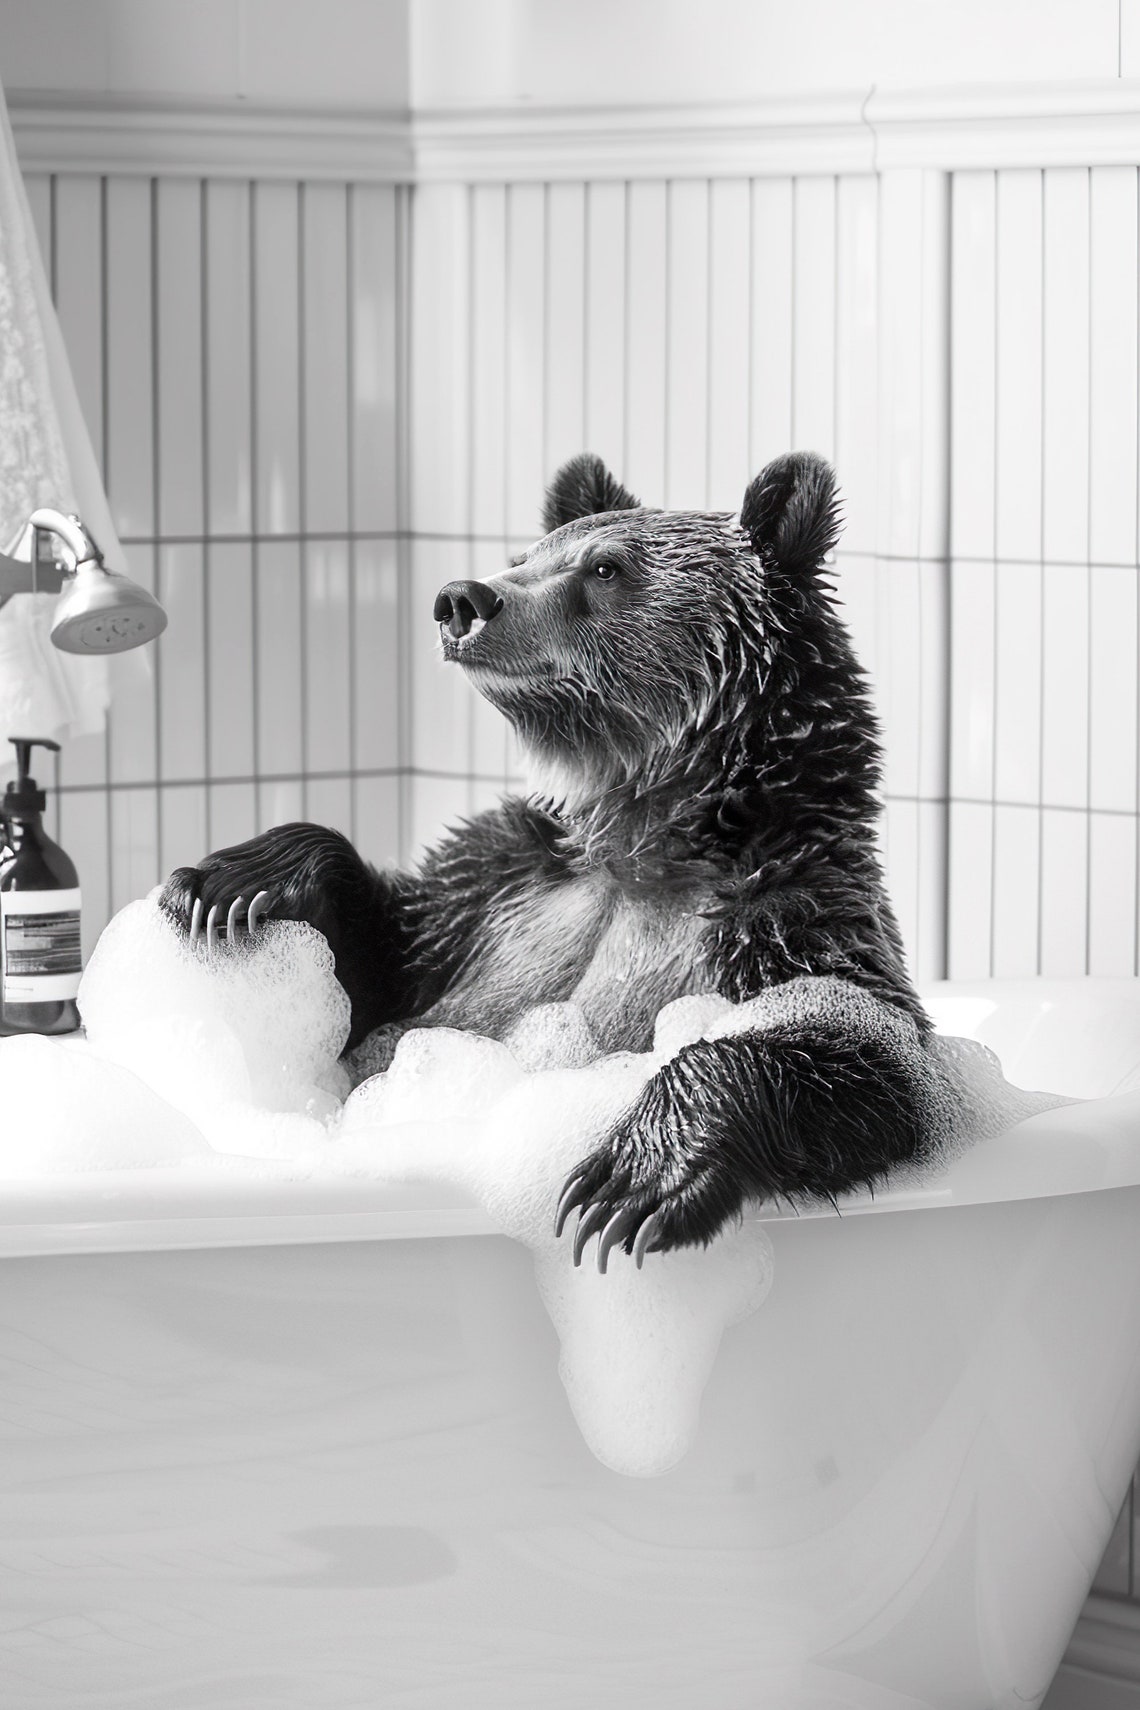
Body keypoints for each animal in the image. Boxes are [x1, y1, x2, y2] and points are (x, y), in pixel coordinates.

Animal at [160, 450, 936, 1271]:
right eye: (525, 556)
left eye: (604, 566)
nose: (463, 598)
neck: (643, 843)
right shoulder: (498, 896)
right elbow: (374, 968)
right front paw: (227, 884)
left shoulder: (784, 917)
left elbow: (858, 1050)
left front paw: (630, 1179)